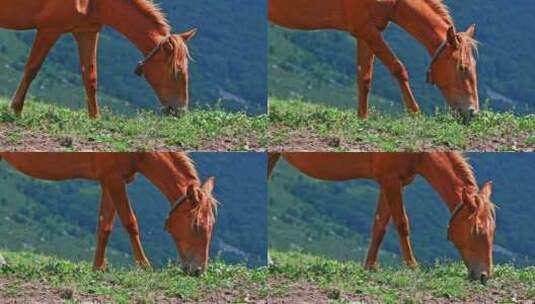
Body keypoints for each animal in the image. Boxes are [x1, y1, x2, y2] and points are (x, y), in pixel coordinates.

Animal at [0, 0, 197, 117]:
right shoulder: (49, 29)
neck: (93, 3)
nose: (180, 111)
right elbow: (32, 68)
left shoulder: (87, 32)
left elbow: (90, 78)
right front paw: (16, 108)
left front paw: (95, 118)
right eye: (177, 72)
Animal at [0, 152, 218, 276]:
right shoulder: (114, 181)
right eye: (196, 225)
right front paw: (144, 266)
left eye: (212, 225)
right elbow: (130, 223)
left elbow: (104, 226)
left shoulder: (108, 181)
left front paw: (98, 268)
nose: (198, 271)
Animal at [268, 152, 498, 282]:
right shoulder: (390, 180)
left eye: (493, 230)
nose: (484, 275)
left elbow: (380, 225)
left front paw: (369, 267)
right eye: (477, 230)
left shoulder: (392, 183)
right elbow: (402, 223)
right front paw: (413, 267)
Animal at [270, 0, 480, 123]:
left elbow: (365, 77)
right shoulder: (367, 30)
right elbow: (398, 68)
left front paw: (362, 119)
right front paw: (415, 113)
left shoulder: (366, 33)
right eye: (462, 68)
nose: (472, 112)